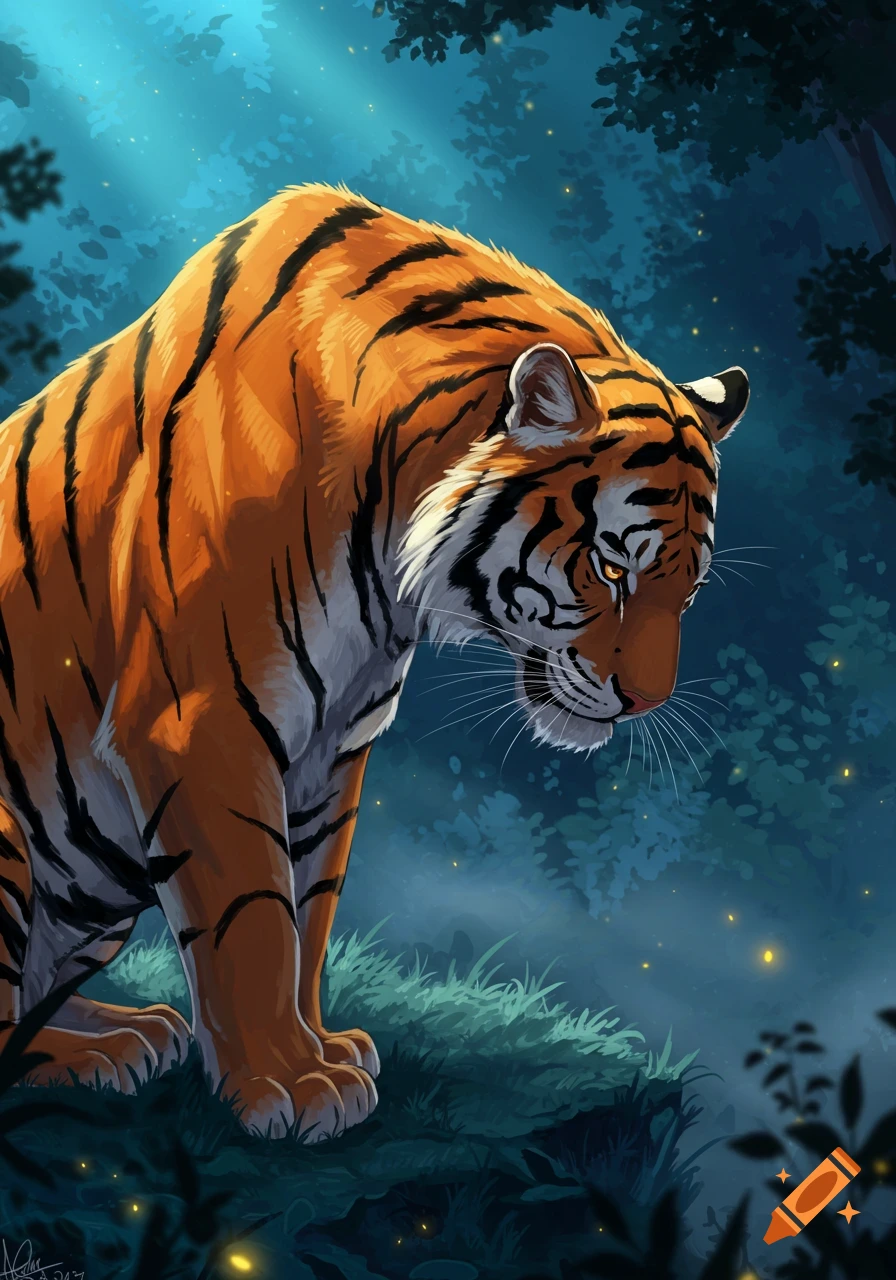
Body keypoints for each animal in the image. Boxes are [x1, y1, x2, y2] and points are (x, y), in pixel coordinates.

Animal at [0, 182, 749, 1141]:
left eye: (688, 589)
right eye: (615, 568)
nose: (644, 703)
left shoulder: (334, 739)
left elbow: (309, 907)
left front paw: (318, 1048)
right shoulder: (200, 720)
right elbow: (252, 915)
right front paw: (285, 1084)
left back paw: (130, 1030)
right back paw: (100, 1052)